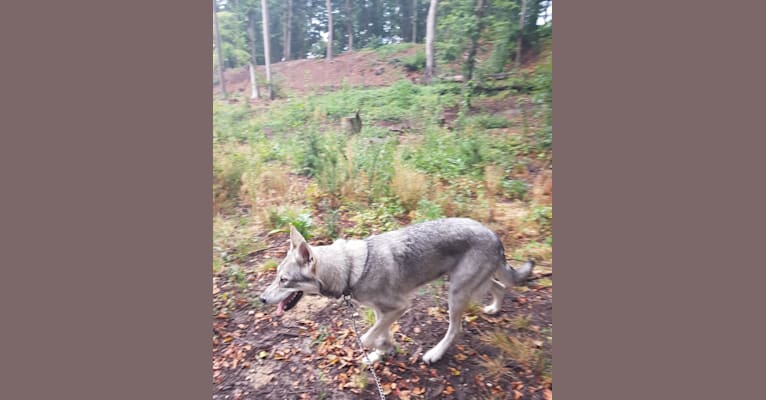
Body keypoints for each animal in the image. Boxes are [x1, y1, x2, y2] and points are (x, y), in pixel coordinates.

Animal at [258, 217, 536, 364]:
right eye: (276, 276)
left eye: (283, 280)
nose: (261, 298)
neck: (350, 269)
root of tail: (494, 235)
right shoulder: (382, 311)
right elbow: (381, 335)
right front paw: (382, 353)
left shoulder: (400, 307)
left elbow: (367, 337)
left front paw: (377, 351)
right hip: (470, 284)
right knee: (501, 286)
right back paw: (494, 308)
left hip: (456, 294)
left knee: (455, 329)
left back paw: (434, 354)